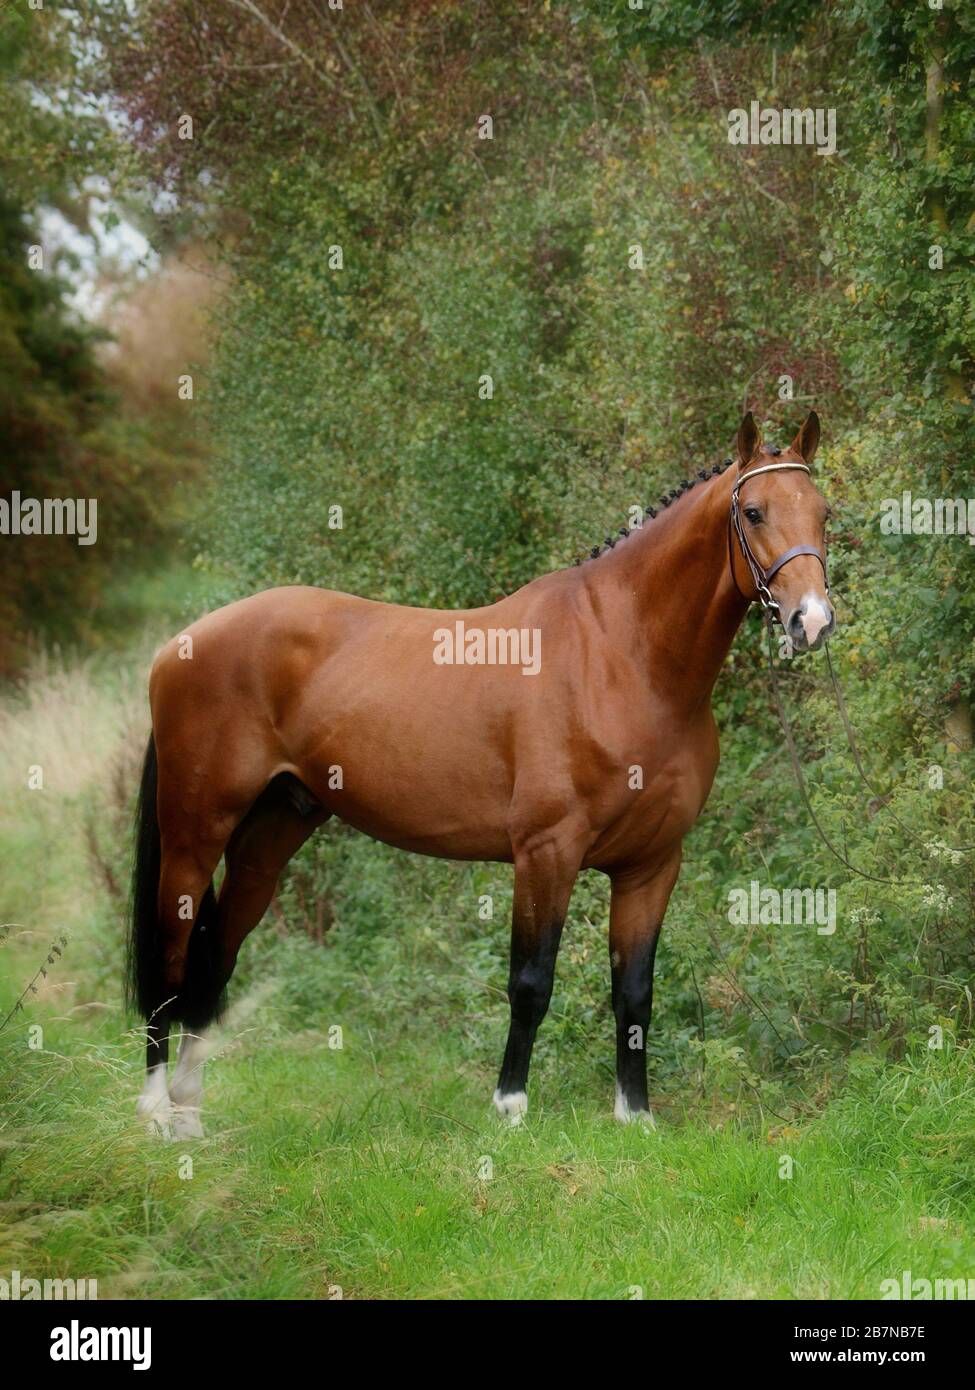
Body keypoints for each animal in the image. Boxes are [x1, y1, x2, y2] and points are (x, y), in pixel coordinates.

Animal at [127, 405, 828, 1134]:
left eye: (823, 512)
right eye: (752, 511)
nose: (810, 622)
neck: (622, 657)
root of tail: (180, 644)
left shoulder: (652, 864)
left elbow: (634, 993)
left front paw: (633, 1116)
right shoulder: (545, 852)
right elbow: (531, 983)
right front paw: (510, 1107)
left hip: (269, 835)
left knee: (215, 960)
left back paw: (190, 1114)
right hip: (193, 834)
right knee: (170, 958)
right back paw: (154, 1113)